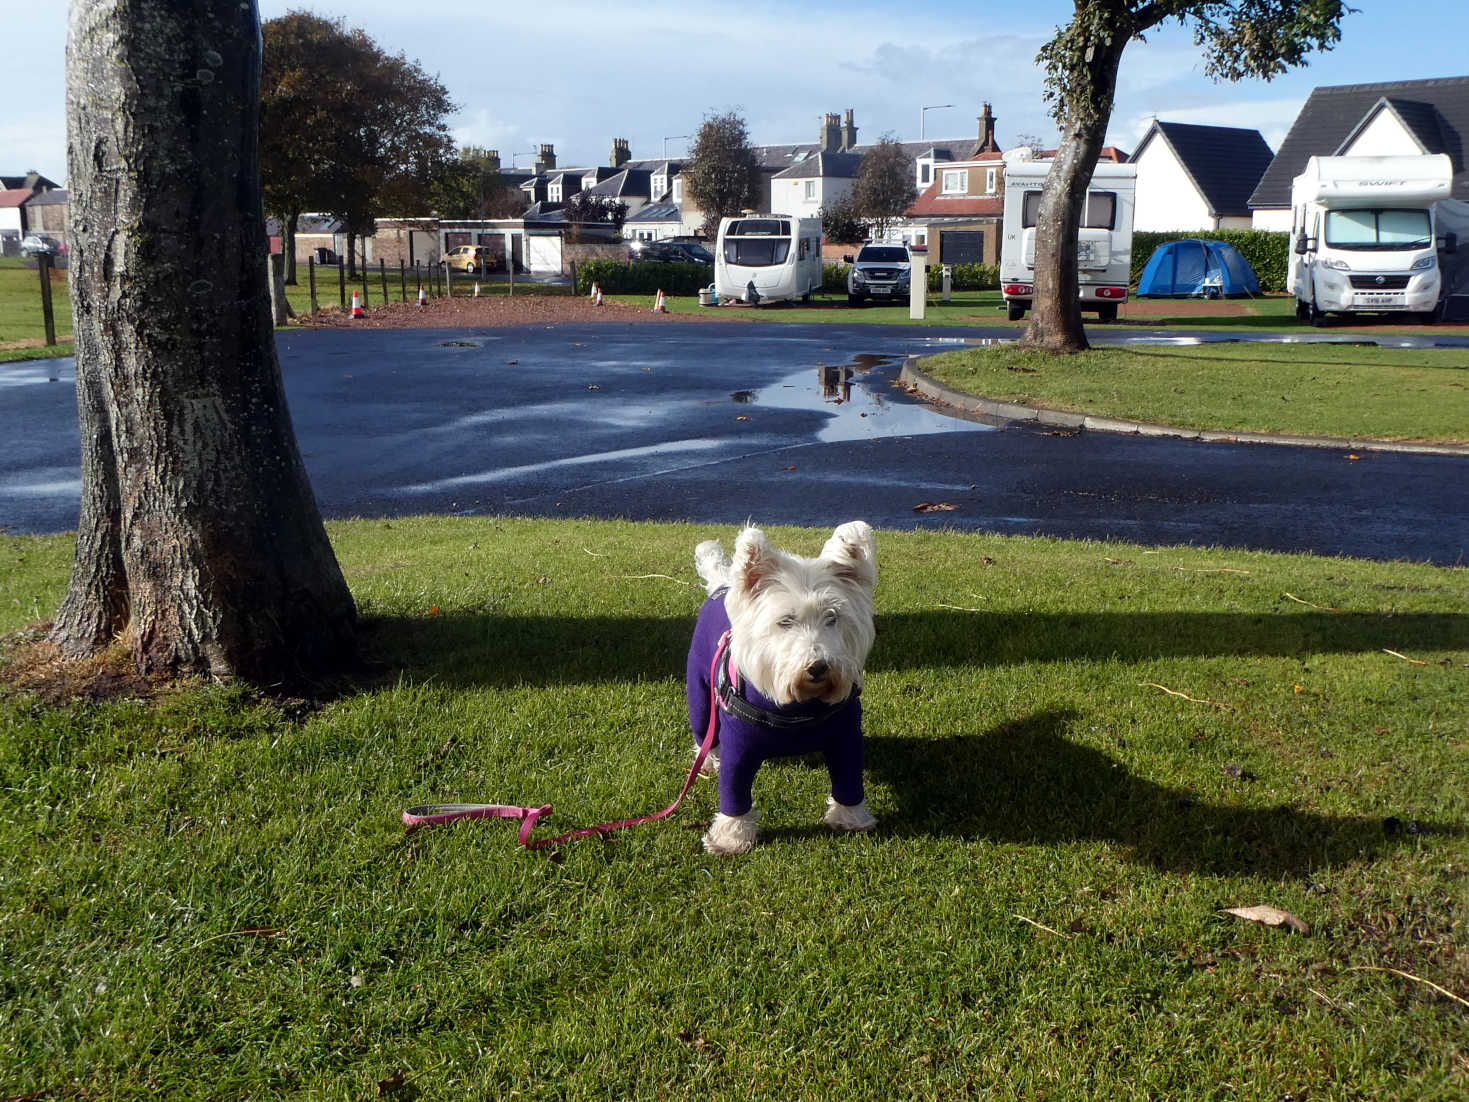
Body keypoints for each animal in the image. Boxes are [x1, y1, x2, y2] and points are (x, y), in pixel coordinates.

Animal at [684, 523, 875, 858]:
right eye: (785, 621)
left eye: (832, 617)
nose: (818, 667)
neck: (798, 709)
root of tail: (722, 586)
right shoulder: (740, 749)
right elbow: (734, 793)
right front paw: (731, 838)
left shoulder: (846, 738)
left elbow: (849, 781)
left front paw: (851, 819)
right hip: (699, 693)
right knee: (704, 733)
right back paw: (706, 761)